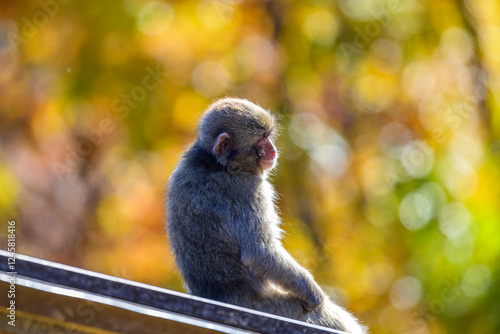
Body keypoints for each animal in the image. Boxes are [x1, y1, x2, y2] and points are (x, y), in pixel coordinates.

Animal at [166, 98, 366, 332]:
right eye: (261, 139)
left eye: (268, 136)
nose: (273, 150)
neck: (217, 163)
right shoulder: (250, 191)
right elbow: (259, 252)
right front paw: (314, 294)